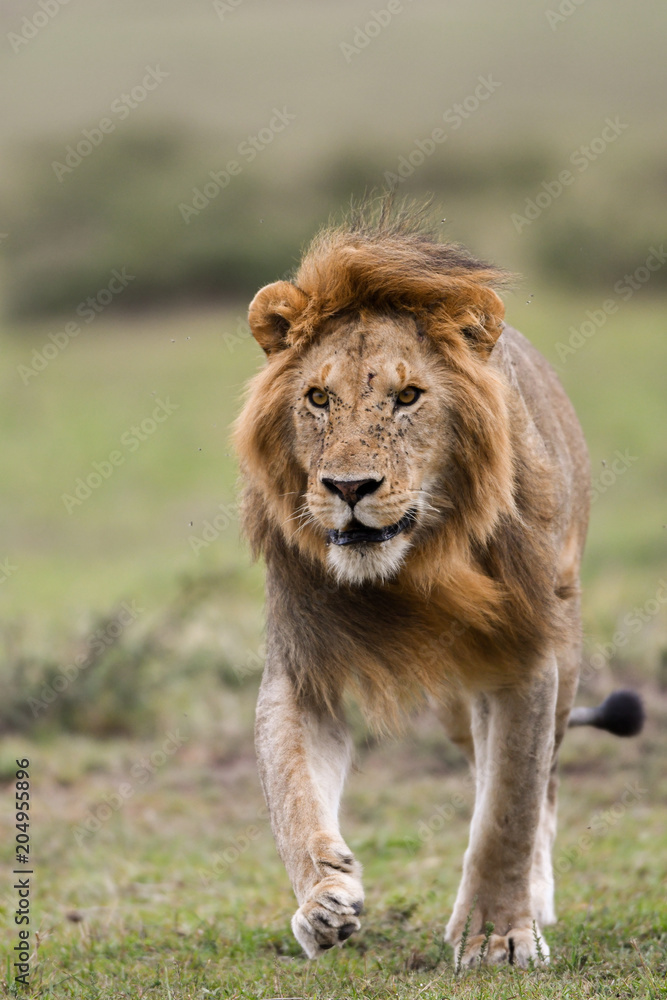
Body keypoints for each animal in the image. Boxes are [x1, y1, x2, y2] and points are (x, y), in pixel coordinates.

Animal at [236, 205, 648, 968]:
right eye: (317, 398)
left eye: (407, 397)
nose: (348, 488)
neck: (413, 566)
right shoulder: (304, 663)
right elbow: (292, 791)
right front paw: (321, 903)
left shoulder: (525, 656)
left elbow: (509, 810)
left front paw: (497, 934)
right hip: (458, 703)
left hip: (563, 651)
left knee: (539, 783)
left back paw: (533, 897)